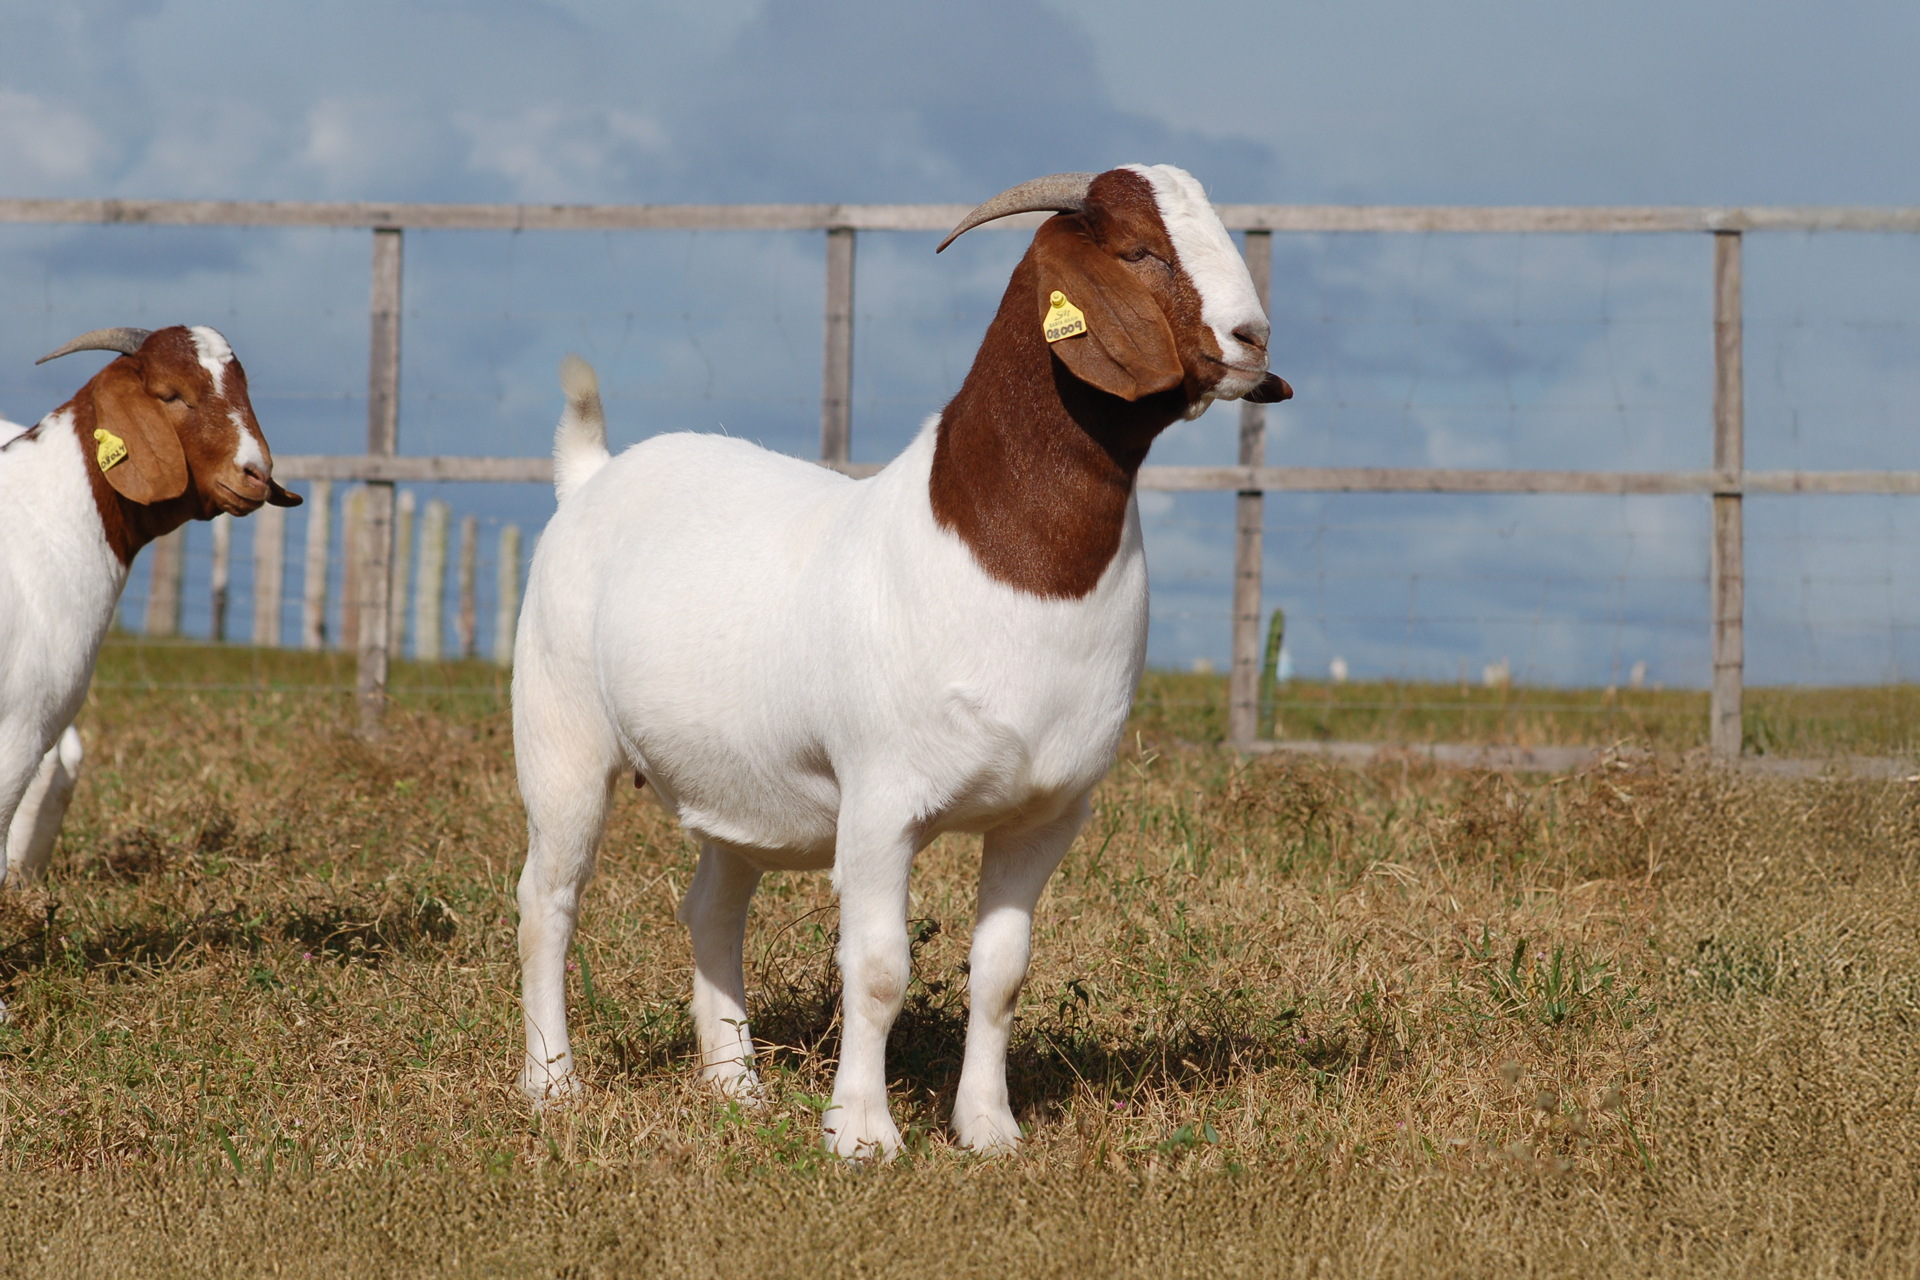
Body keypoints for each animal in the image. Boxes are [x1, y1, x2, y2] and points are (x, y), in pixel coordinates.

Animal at [513, 165, 1291, 1157]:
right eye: (1139, 250)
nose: (1253, 339)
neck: (993, 551)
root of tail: (590, 476)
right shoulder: (881, 802)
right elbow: (879, 968)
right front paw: (862, 1134)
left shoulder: (1047, 814)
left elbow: (1001, 971)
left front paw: (989, 1128)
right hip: (561, 736)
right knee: (548, 900)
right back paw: (553, 1087)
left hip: (735, 780)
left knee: (712, 908)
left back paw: (736, 1087)